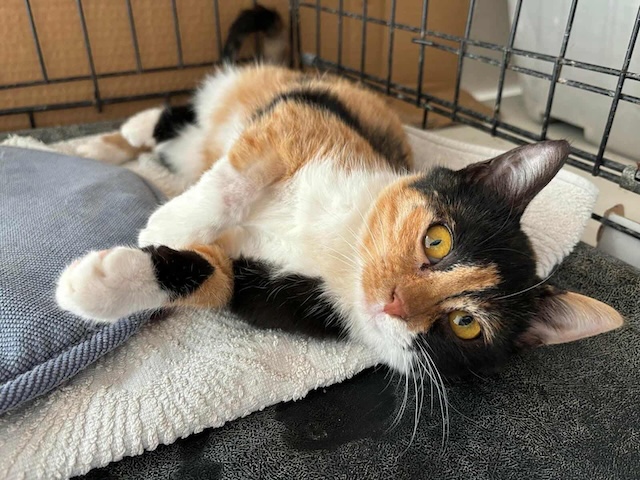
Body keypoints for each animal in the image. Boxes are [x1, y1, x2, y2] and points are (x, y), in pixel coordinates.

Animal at [55, 5, 622, 379]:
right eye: (437, 240)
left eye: (465, 325)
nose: (394, 303)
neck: (339, 245)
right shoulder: (309, 120)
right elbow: (238, 175)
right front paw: (173, 220)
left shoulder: (269, 289)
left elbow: (209, 277)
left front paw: (98, 284)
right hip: (292, 95)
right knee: (188, 118)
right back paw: (119, 134)